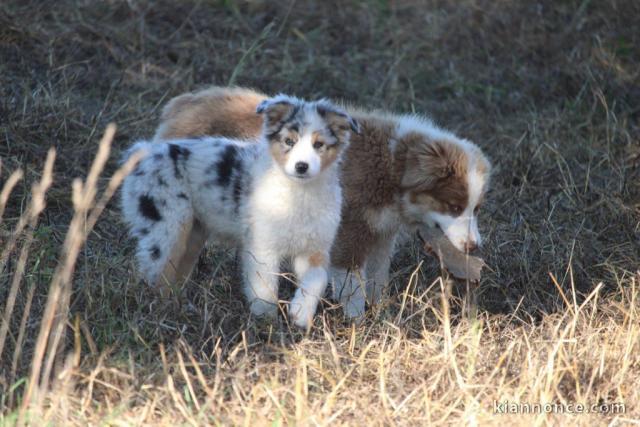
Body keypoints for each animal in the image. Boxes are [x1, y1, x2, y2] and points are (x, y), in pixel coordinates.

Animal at [154, 86, 490, 318]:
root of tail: (179, 105)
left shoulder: (381, 234)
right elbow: (351, 284)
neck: (392, 166)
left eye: (476, 209)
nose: (474, 247)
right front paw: (356, 323)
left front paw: (381, 313)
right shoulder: (348, 230)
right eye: (453, 207)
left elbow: (377, 276)